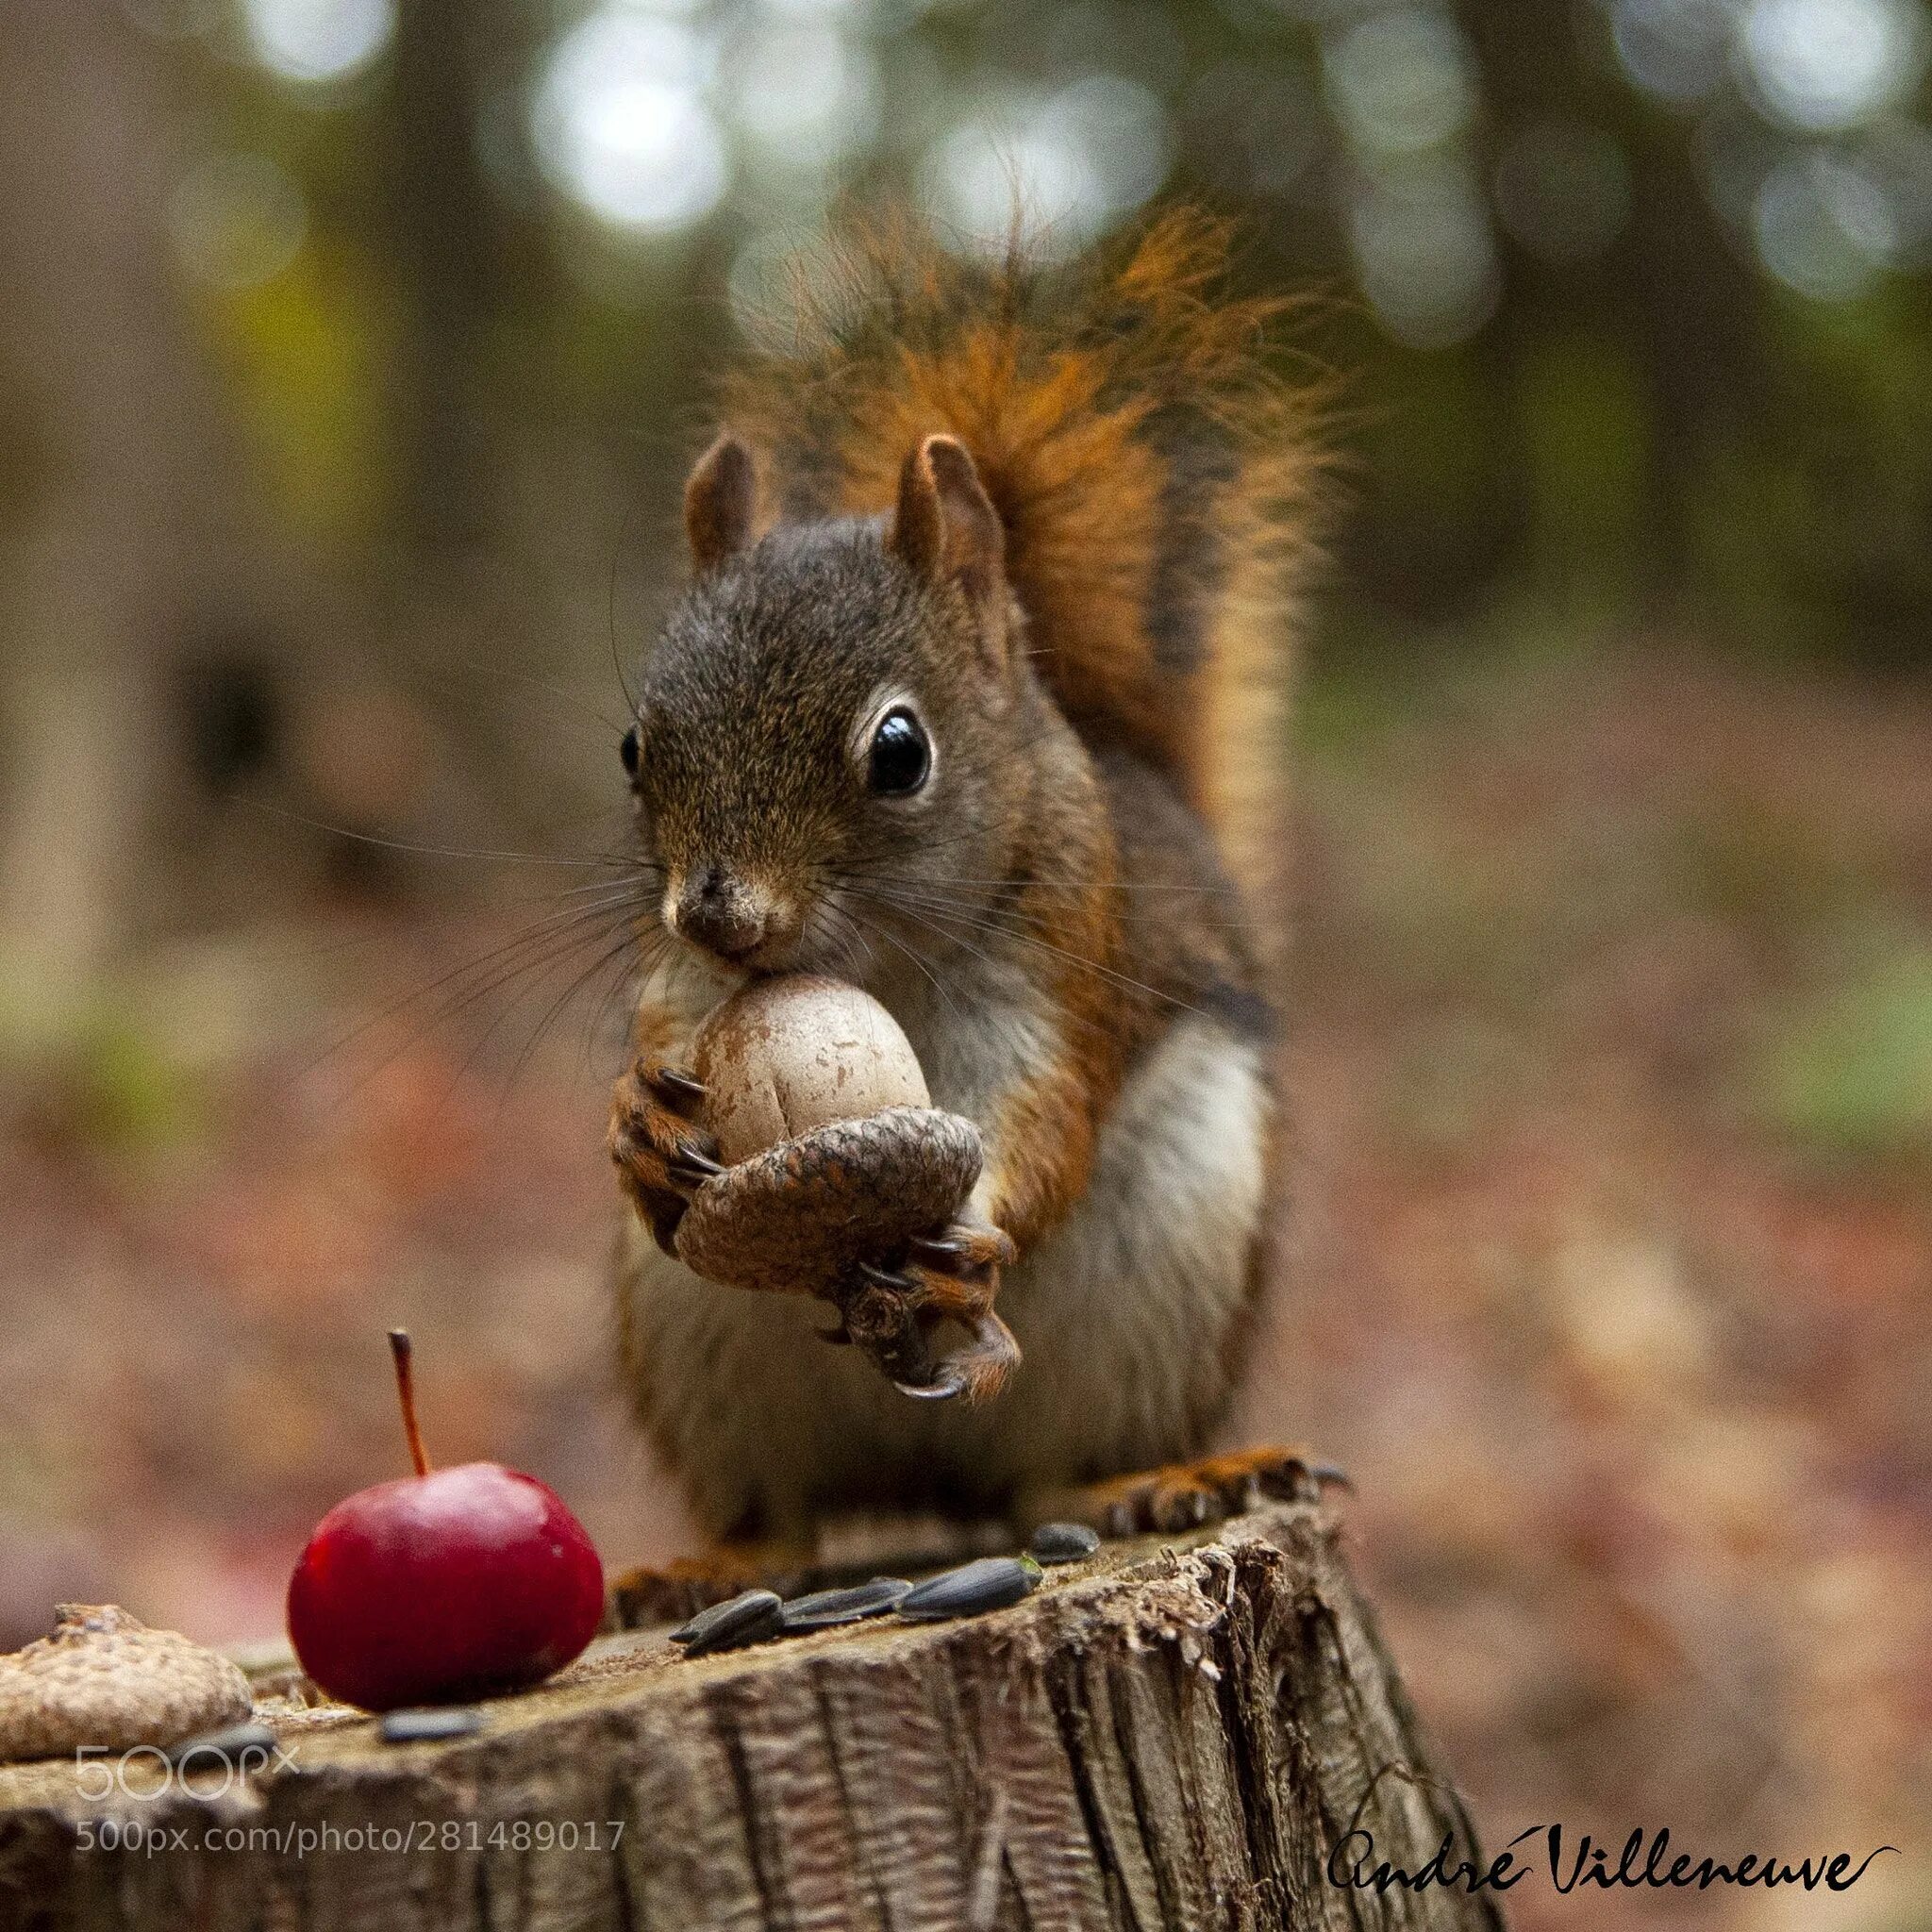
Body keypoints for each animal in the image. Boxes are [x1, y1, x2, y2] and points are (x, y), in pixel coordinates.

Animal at [602, 204, 1329, 1576]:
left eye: (900, 751)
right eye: (632, 749)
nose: (717, 912)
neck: (870, 961)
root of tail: (920, 1485)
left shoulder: (1061, 956)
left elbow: (1043, 1119)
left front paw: (973, 1226)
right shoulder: (684, 985)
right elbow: (661, 1055)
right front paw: (634, 1122)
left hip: (1172, 1261)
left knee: (1047, 1481)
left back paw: (1148, 1482)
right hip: (688, 1331)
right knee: (781, 1516)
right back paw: (720, 1563)